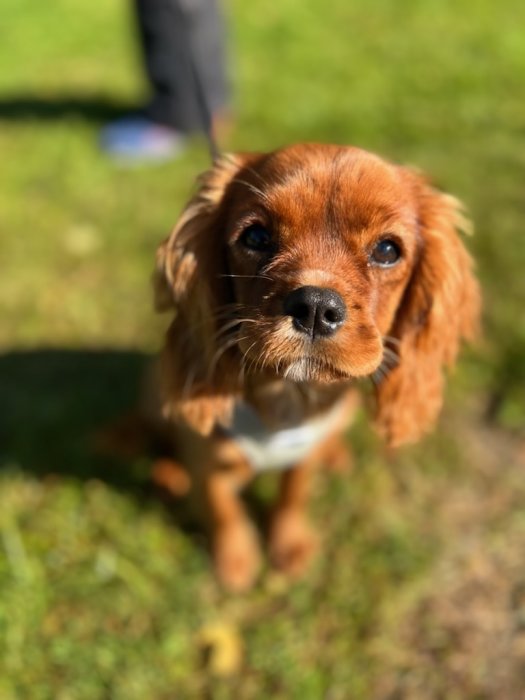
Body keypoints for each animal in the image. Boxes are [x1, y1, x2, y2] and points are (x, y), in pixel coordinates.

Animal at [147, 142, 478, 592]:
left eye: (387, 250)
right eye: (256, 237)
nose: (316, 307)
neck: (289, 396)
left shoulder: (304, 451)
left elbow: (294, 492)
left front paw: (289, 544)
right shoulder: (206, 456)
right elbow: (222, 508)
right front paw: (236, 561)